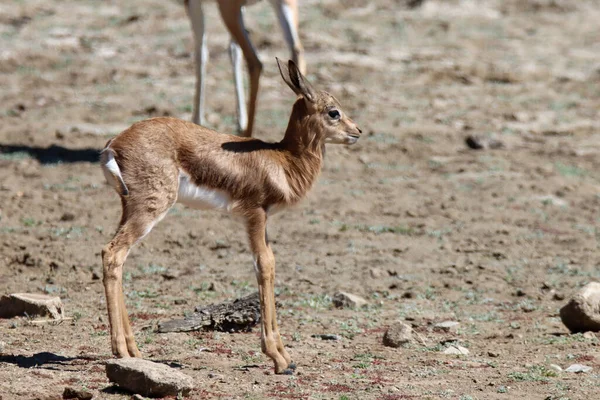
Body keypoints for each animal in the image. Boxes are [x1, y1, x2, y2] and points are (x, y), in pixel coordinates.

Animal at [100, 59, 360, 376]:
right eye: (333, 111)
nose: (357, 131)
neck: (282, 161)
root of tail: (114, 143)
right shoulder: (254, 216)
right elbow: (264, 266)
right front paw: (278, 359)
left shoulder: (263, 221)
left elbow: (271, 264)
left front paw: (287, 358)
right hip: (149, 209)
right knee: (112, 253)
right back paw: (121, 352)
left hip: (130, 209)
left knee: (118, 258)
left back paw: (134, 350)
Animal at [186, 0, 304, 138]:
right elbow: (233, 51)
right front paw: (240, 121)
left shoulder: (192, 4)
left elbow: (201, 53)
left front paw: (197, 120)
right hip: (285, 4)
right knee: (297, 52)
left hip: (228, 12)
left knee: (255, 62)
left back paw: (247, 134)